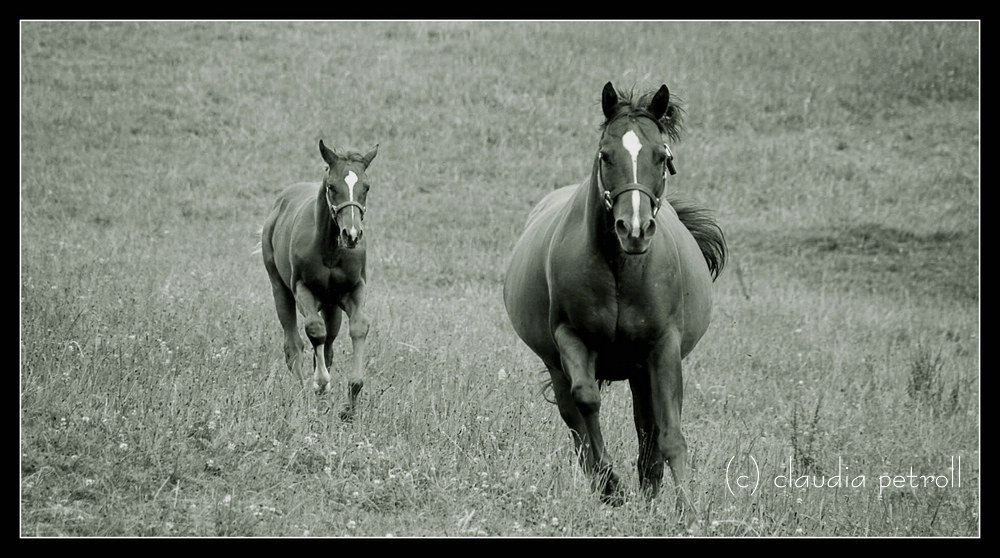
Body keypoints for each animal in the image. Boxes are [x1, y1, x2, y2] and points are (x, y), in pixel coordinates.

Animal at [262, 141, 378, 424]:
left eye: (367, 186)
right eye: (332, 186)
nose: (352, 234)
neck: (331, 250)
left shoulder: (355, 290)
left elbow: (359, 327)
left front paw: (350, 405)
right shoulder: (303, 289)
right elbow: (315, 331)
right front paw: (321, 383)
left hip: (332, 305)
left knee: (329, 344)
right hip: (280, 289)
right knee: (294, 345)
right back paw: (305, 393)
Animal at [504, 83, 724, 524]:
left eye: (662, 157)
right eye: (606, 155)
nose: (634, 229)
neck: (622, 268)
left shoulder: (663, 349)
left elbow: (669, 432)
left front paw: (687, 509)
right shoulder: (571, 339)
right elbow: (587, 403)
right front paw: (612, 487)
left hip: (642, 370)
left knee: (648, 428)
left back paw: (651, 489)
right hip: (558, 366)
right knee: (576, 423)